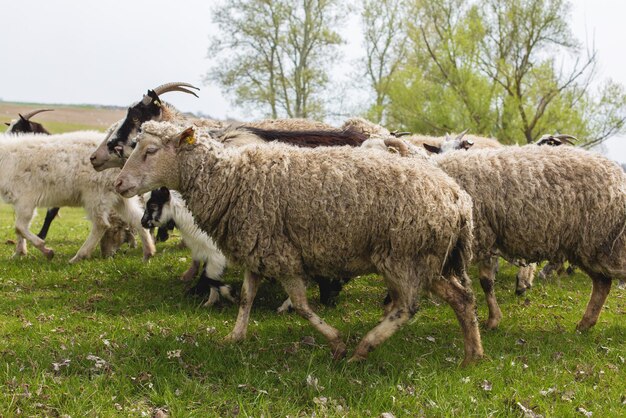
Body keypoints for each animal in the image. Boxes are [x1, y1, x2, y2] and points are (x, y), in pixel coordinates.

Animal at [0, 129, 155, 262]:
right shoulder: (19, 202)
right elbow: (19, 229)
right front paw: (19, 253)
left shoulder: (25, 200)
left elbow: (19, 227)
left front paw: (46, 250)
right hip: (119, 195)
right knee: (136, 218)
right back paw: (148, 252)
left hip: (96, 194)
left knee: (101, 224)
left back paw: (79, 257)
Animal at [113, 121, 482, 366]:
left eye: (150, 150)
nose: (118, 183)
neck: (230, 178)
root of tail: (459, 199)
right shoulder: (256, 247)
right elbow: (246, 297)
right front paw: (234, 337)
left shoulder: (282, 253)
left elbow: (302, 306)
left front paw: (336, 343)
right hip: (428, 259)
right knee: (461, 298)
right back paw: (472, 355)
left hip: (403, 255)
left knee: (408, 307)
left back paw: (363, 349)